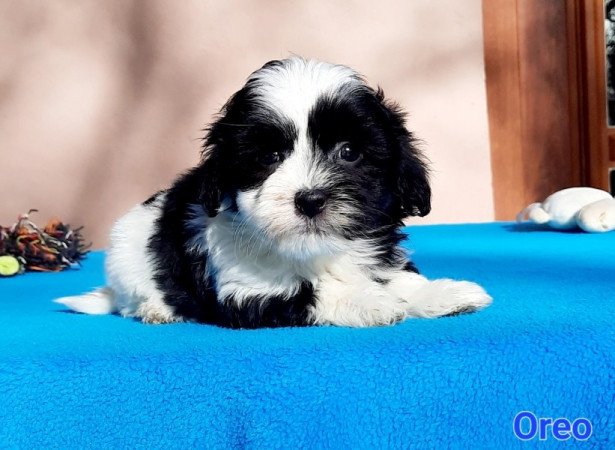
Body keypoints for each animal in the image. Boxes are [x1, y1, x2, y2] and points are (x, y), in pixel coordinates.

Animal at [56, 58, 490, 328]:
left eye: (349, 151)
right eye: (269, 156)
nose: (310, 200)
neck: (314, 253)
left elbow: (397, 279)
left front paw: (442, 292)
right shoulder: (247, 290)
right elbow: (311, 293)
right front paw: (373, 301)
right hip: (128, 258)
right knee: (133, 299)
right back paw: (157, 309)